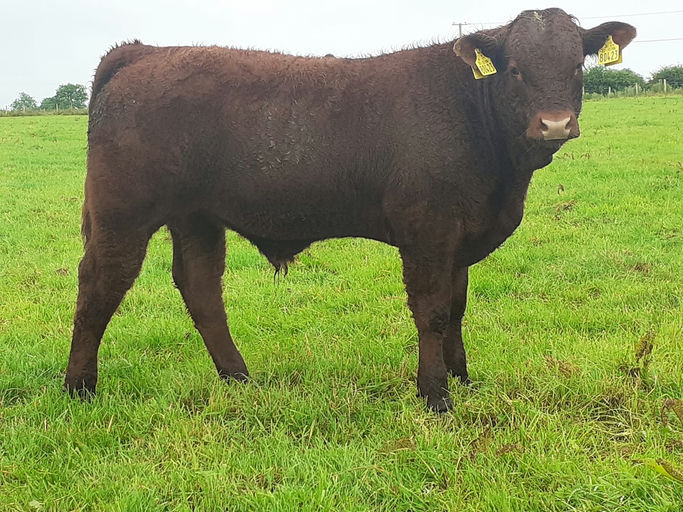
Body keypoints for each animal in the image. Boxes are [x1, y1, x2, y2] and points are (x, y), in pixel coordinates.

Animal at [64, 8, 636, 411]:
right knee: (99, 286)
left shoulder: (459, 238)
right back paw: (79, 388)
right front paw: (435, 396)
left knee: (201, 289)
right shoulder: (428, 232)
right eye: (515, 70)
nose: (555, 124)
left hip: (197, 217)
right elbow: (432, 310)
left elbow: (457, 308)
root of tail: (143, 52)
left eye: (577, 67)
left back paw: (240, 379)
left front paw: (462, 379)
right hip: (123, 213)